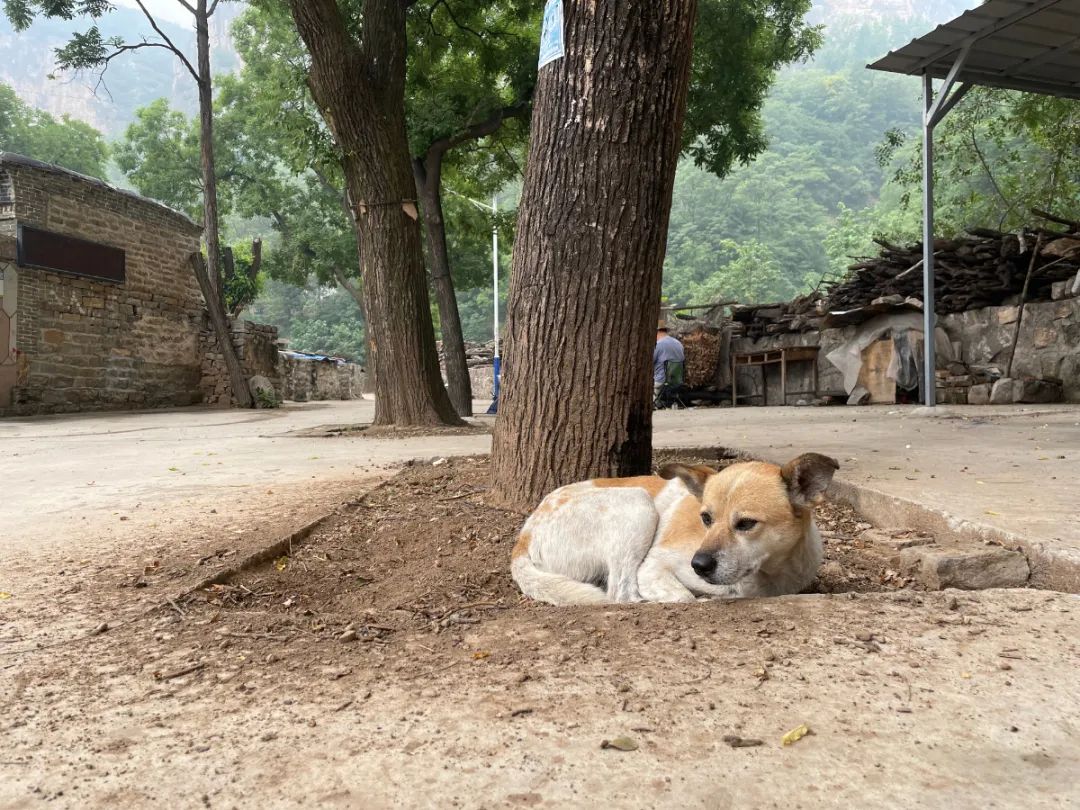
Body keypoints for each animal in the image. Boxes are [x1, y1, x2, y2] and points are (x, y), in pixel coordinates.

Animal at [509, 453, 838, 604]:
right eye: (706, 518)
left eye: (746, 524)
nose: (699, 565)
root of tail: (523, 540)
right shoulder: (654, 566)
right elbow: (684, 597)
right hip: (637, 504)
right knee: (621, 593)